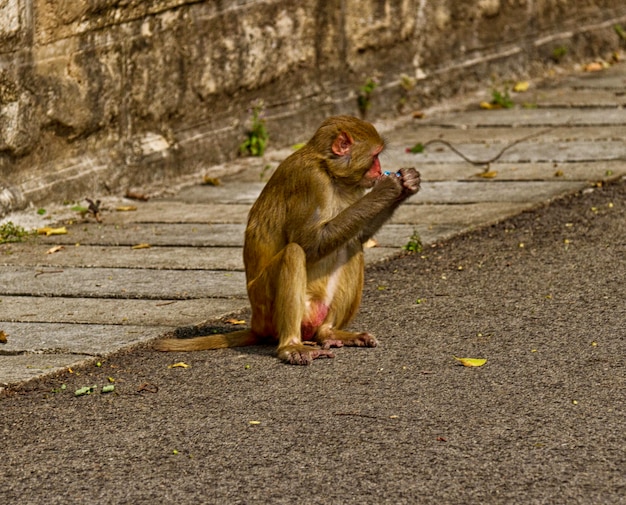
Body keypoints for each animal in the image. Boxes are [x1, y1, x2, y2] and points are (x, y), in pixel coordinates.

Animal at [155, 116, 420, 364]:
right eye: (375, 156)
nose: (379, 170)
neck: (329, 170)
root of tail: (256, 324)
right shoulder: (311, 181)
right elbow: (309, 243)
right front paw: (387, 189)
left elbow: (359, 235)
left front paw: (408, 182)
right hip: (266, 308)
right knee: (294, 252)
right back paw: (290, 346)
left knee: (350, 245)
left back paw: (330, 333)